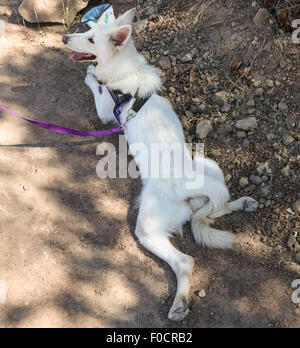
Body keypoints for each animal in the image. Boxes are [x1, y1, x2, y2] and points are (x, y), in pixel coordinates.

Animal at [62, 8, 258, 322]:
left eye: (90, 39)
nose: (64, 37)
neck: (126, 68)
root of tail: (184, 189)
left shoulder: (105, 112)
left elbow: (94, 84)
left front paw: (92, 76)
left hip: (146, 228)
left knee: (185, 261)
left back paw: (179, 304)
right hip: (207, 163)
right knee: (215, 209)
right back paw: (244, 203)